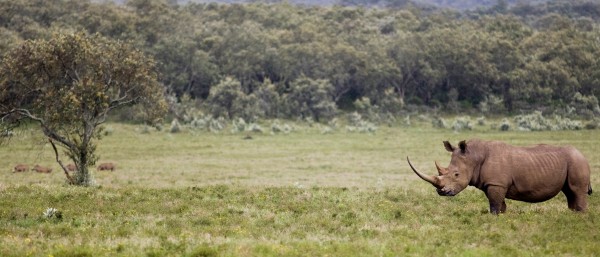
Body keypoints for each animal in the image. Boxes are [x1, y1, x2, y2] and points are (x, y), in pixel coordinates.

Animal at [406, 139, 592, 213]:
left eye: (456, 174)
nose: (441, 192)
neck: (474, 156)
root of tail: (583, 155)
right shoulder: (494, 184)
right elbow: (499, 205)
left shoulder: (496, 184)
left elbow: (494, 205)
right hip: (572, 162)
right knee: (569, 192)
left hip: (576, 161)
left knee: (576, 191)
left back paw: (580, 217)